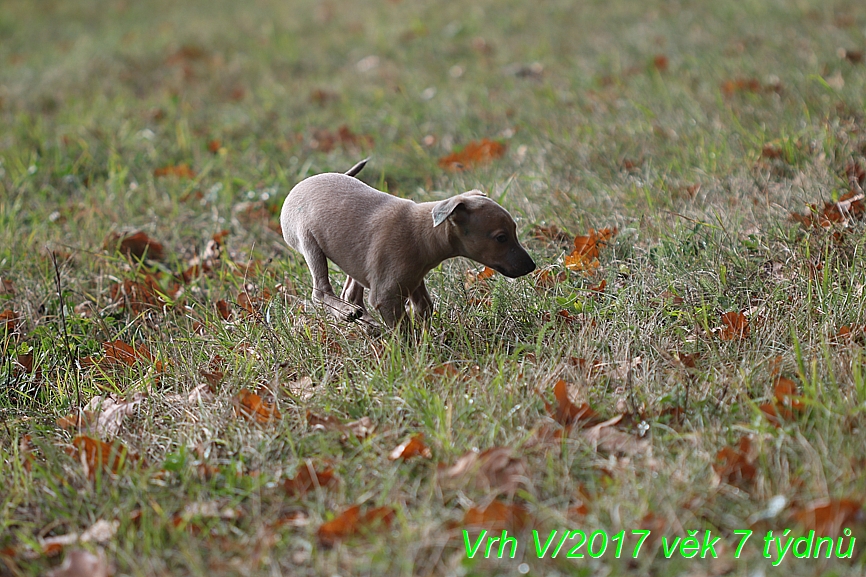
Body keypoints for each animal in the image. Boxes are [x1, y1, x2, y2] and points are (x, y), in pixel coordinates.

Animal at [280, 160, 532, 328]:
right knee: (320, 292)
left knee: (351, 291)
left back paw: (367, 324)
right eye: (501, 238)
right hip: (309, 243)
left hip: (353, 258)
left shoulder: (413, 281)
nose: (532, 266)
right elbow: (404, 330)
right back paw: (349, 313)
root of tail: (302, 183)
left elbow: (424, 308)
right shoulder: (386, 295)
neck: (422, 232)